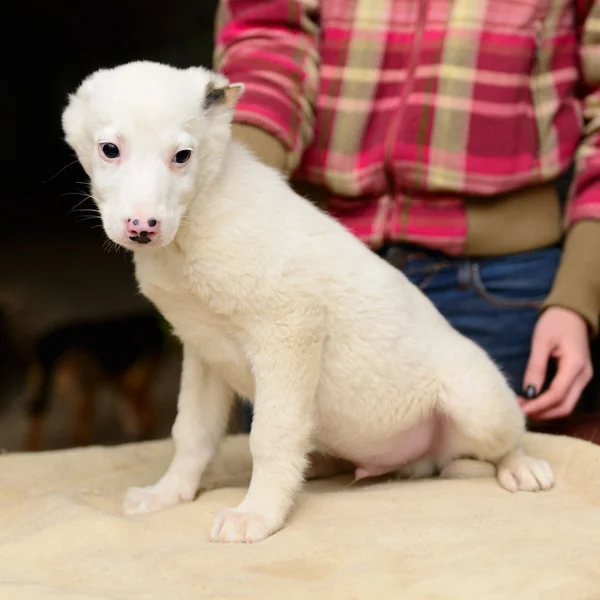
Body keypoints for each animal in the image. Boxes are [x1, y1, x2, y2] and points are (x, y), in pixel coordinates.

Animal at [61, 61, 552, 544]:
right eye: (109, 150)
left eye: (182, 156)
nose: (143, 227)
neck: (196, 221)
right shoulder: (203, 352)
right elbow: (191, 432)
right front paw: (169, 493)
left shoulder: (289, 332)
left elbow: (271, 436)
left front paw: (257, 515)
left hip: (478, 404)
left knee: (509, 439)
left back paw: (522, 467)